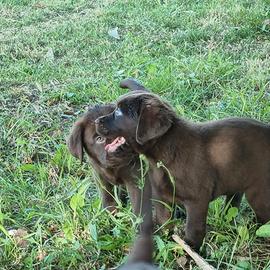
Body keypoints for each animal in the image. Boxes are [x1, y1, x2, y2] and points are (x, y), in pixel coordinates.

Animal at [96, 79, 270, 250]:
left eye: (119, 113)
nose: (96, 120)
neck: (161, 158)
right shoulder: (162, 197)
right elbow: (164, 222)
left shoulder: (196, 201)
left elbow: (193, 231)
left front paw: (190, 251)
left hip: (258, 195)